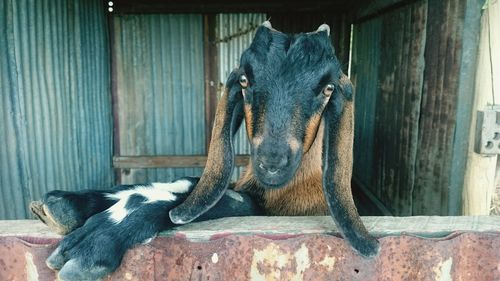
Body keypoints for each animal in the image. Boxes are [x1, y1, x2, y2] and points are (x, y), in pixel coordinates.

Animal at [30, 20, 378, 278]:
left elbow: (226, 203)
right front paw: (70, 203)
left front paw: (96, 241)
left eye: (328, 88)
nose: (272, 162)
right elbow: (190, 185)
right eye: (244, 81)